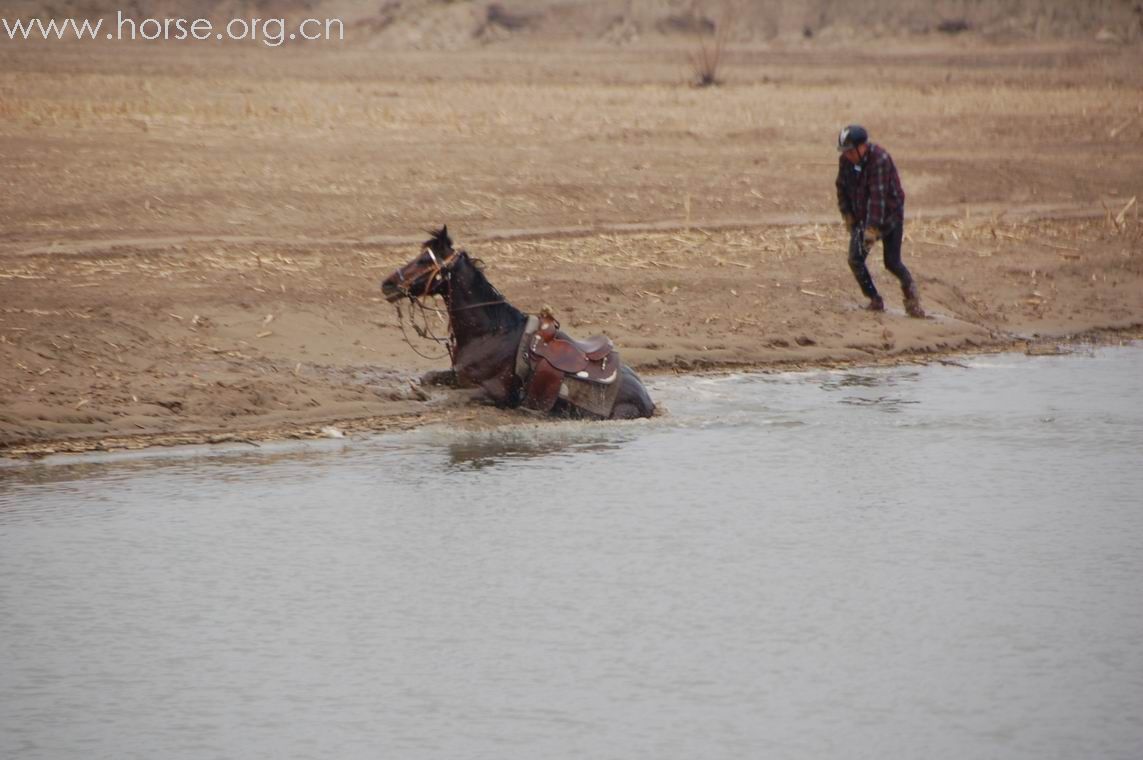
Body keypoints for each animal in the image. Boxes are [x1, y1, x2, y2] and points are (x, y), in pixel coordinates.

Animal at [381, 225, 658, 420]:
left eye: (425, 261)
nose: (387, 284)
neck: (489, 334)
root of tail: (647, 400)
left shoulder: (494, 393)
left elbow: (448, 398)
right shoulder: (457, 375)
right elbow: (428, 378)